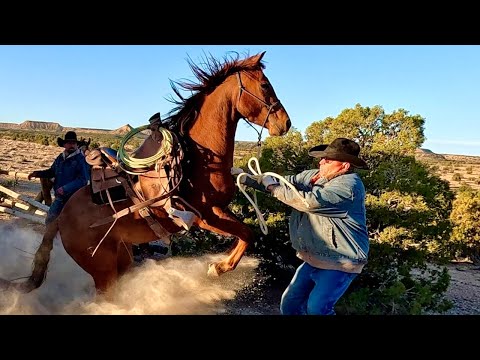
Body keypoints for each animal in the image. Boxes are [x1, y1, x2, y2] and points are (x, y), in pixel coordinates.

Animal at [0, 52, 290, 296]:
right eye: (265, 85)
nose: (285, 123)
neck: (195, 159)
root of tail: (60, 219)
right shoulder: (205, 215)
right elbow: (247, 234)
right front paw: (217, 268)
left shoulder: (219, 209)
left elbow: (246, 234)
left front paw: (219, 264)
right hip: (102, 269)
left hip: (121, 257)